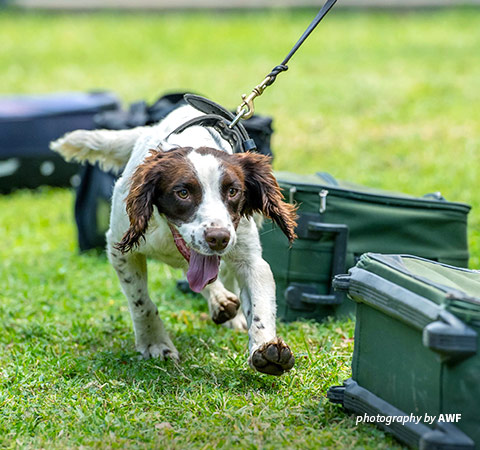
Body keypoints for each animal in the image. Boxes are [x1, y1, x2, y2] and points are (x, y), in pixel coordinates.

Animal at [49, 103, 296, 374]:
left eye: (233, 191)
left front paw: (266, 348)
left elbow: (260, 306)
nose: (218, 238)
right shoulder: (120, 251)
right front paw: (155, 343)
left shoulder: (250, 259)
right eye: (183, 193)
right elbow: (141, 302)